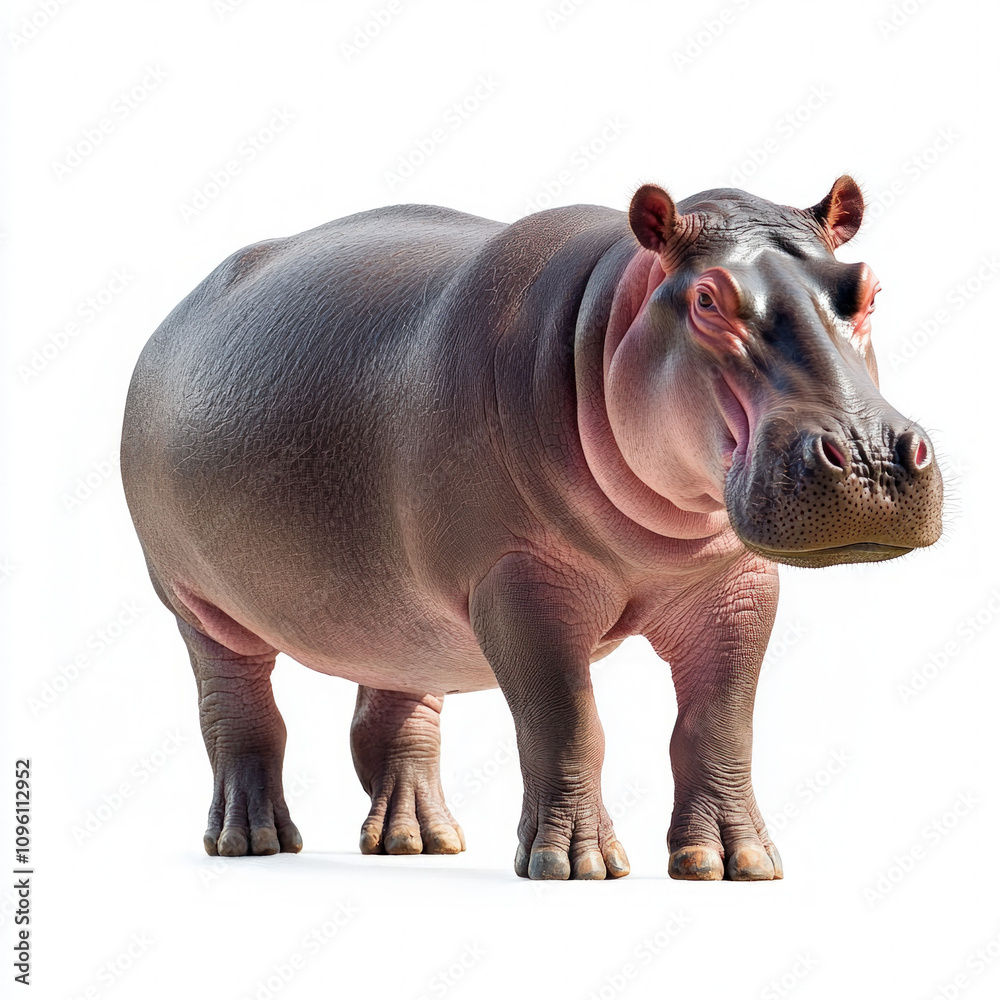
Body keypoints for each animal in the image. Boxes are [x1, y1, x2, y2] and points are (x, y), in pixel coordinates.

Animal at [121, 176, 943, 880]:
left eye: (867, 286)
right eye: (708, 298)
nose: (870, 457)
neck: (611, 317)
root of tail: (173, 314)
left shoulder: (737, 584)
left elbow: (718, 724)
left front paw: (733, 862)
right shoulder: (518, 582)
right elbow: (566, 721)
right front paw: (575, 864)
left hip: (400, 614)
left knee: (396, 717)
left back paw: (420, 841)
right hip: (196, 601)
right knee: (238, 710)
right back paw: (251, 840)